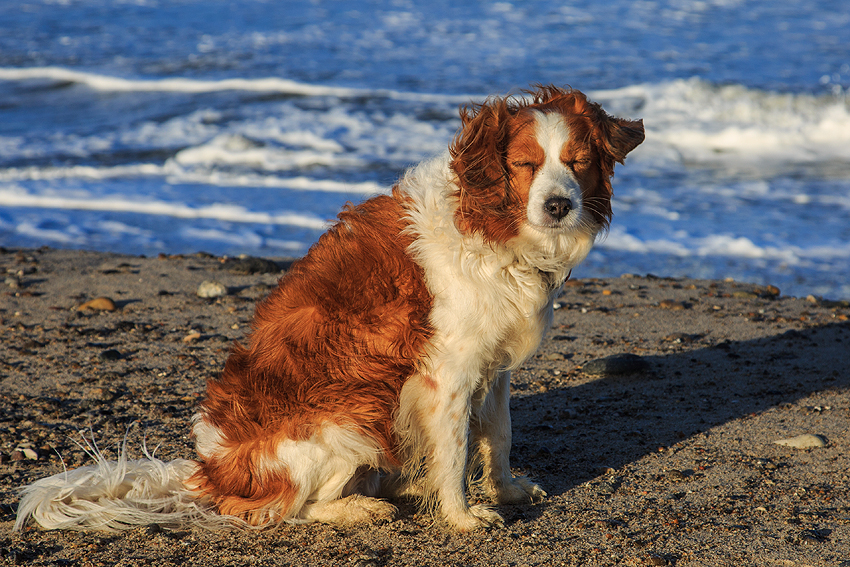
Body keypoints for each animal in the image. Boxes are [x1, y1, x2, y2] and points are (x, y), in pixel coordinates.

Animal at [16, 84, 644, 532]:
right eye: (525, 165)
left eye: (578, 161)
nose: (559, 205)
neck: (493, 231)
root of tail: (209, 472)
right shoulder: (447, 373)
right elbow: (457, 451)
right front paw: (462, 515)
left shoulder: (494, 367)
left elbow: (499, 433)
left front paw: (507, 490)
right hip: (349, 420)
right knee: (285, 509)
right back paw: (360, 508)